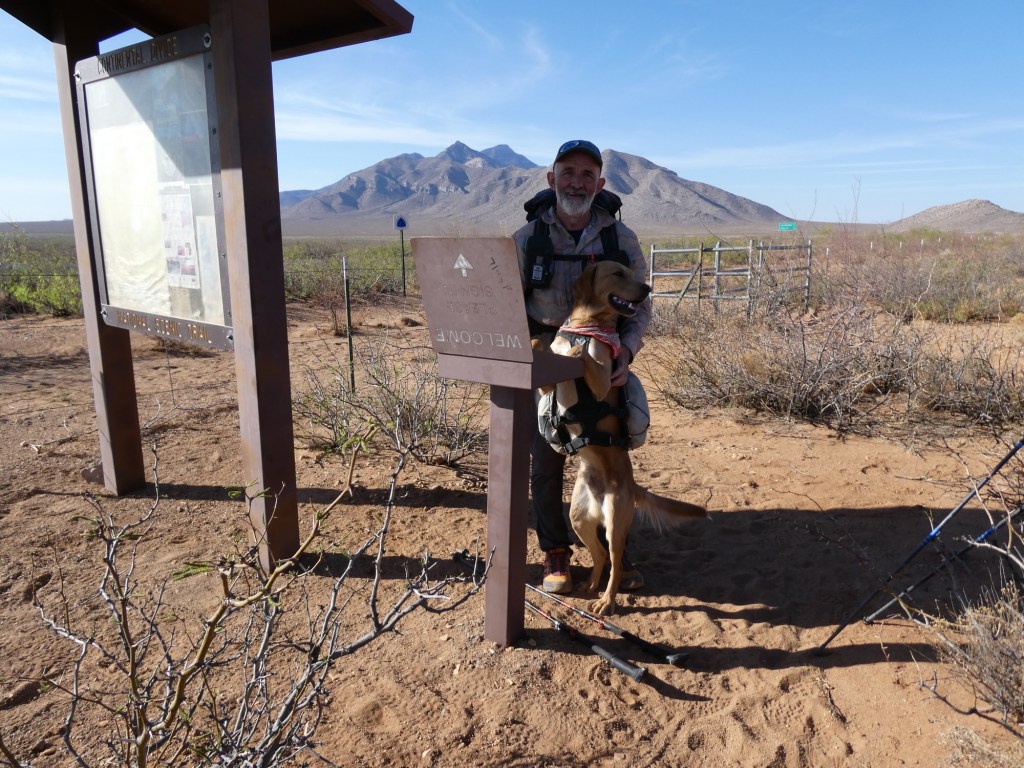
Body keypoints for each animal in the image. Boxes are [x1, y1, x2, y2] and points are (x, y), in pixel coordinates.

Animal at [537, 260, 707, 615]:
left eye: (630, 272)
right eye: (618, 273)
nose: (647, 288)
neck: (585, 326)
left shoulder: (603, 380)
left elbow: (582, 355)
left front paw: (578, 349)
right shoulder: (547, 385)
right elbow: (550, 353)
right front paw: (540, 344)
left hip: (616, 523)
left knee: (614, 562)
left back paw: (606, 599)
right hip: (578, 519)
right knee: (599, 554)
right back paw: (590, 586)